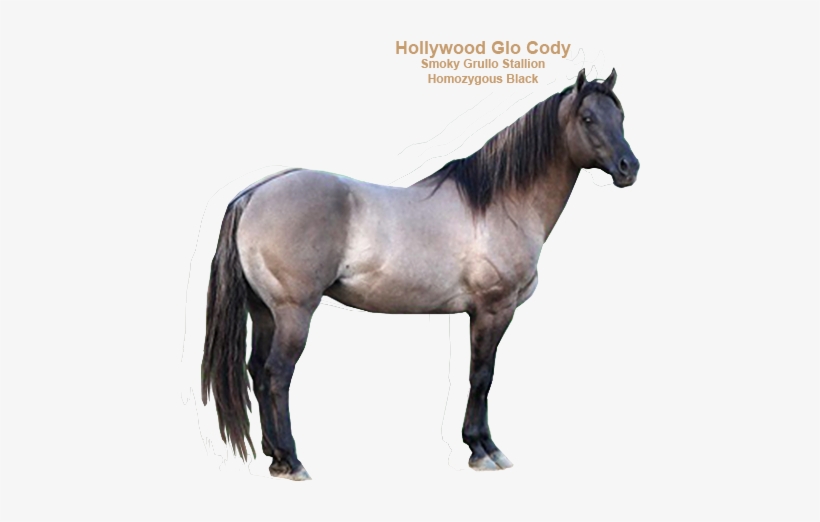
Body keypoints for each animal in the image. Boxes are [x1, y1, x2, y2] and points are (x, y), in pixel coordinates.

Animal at [201, 68, 640, 480]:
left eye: (620, 115)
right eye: (587, 118)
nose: (629, 167)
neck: (498, 204)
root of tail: (253, 194)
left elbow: (481, 376)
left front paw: (483, 446)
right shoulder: (494, 309)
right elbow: (482, 376)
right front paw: (482, 450)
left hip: (265, 312)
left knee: (257, 372)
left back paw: (274, 456)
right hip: (294, 312)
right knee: (277, 375)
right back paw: (292, 460)